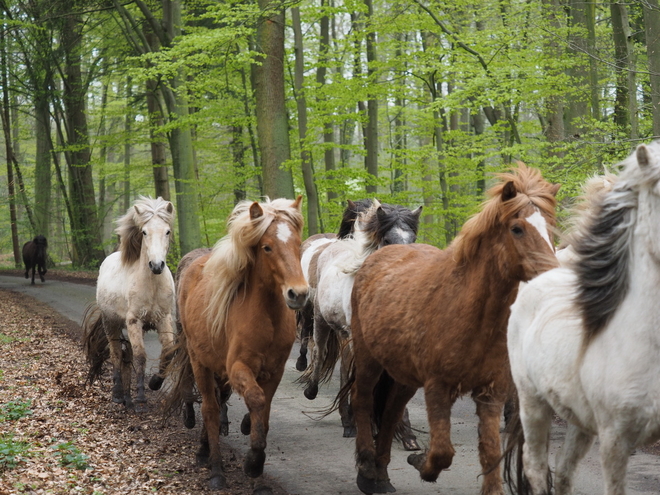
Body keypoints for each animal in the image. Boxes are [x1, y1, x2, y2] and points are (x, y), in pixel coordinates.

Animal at [81, 196, 177, 412]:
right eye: (144, 232)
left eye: (167, 231)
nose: (156, 265)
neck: (152, 284)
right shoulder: (134, 321)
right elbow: (141, 357)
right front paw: (141, 399)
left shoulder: (163, 319)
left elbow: (168, 351)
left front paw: (155, 383)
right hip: (111, 323)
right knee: (116, 353)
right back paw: (118, 395)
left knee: (128, 354)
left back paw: (127, 397)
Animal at [165, 197, 310, 492]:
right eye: (267, 247)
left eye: (297, 244)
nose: (298, 294)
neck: (267, 318)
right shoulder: (238, 368)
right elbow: (255, 399)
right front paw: (253, 461)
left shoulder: (274, 372)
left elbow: (264, 413)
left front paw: (259, 473)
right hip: (200, 362)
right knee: (210, 409)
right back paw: (216, 470)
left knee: (218, 402)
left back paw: (205, 450)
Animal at [300, 201, 422, 450]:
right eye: (387, 240)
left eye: (413, 238)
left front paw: (405, 434)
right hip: (322, 321)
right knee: (320, 352)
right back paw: (317, 395)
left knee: (343, 369)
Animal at [348, 164, 560, 495]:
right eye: (517, 228)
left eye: (550, 228)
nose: (552, 278)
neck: (470, 314)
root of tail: (376, 258)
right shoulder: (438, 388)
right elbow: (442, 452)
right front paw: (421, 464)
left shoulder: (490, 394)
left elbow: (490, 453)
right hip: (369, 359)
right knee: (362, 399)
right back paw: (368, 470)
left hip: (404, 375)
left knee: (392, 410)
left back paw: (382, 474)